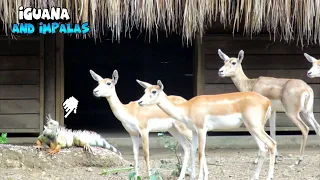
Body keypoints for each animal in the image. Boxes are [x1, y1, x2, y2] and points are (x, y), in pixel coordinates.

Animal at [136, 80, 276, 180]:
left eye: (154, 91)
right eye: (145, 90)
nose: (140, 102)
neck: (188, 108)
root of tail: (267, 101)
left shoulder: (202, 129)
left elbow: (201, 153)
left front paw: (200, 177)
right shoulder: (194, 131)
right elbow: (193, 151)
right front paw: (193, 177)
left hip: (255, 127)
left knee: (271, 144)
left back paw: (269, 177)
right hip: (252, 128)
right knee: (264, 148)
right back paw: (254, 177)